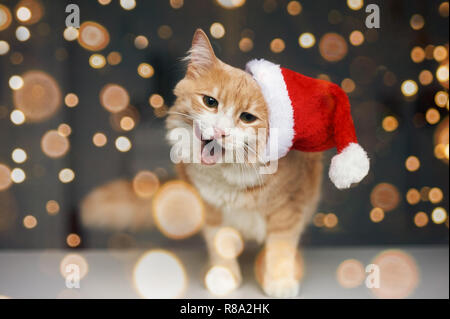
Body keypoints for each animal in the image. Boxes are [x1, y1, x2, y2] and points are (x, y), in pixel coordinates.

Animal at [166, 28, 324, 298]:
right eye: (210, 102)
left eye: (248, 118)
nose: (220, 132)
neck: (230, 171)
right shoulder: (212, 211)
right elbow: (220, 245)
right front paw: (223, 277)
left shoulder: (289, 210)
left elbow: (280, 249)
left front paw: (279, 281)